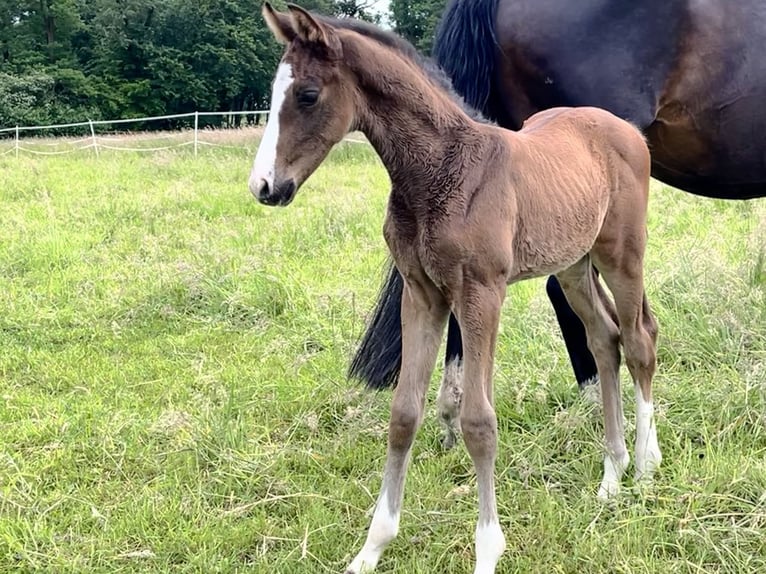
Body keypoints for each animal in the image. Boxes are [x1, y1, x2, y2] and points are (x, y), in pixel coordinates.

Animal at [252, 5, 664, 574]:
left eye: (308, 95)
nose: (264, 187)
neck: (438, 170)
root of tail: (625, 130)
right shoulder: (422, 293)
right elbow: (404, 414)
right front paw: (371, 549)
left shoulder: (481, 293)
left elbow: (478, 422)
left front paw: (488, 550)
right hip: (573, 264)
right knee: (605, 340)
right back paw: (611, 475)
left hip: (622, 254)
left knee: (640, 340)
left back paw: (644, 467)